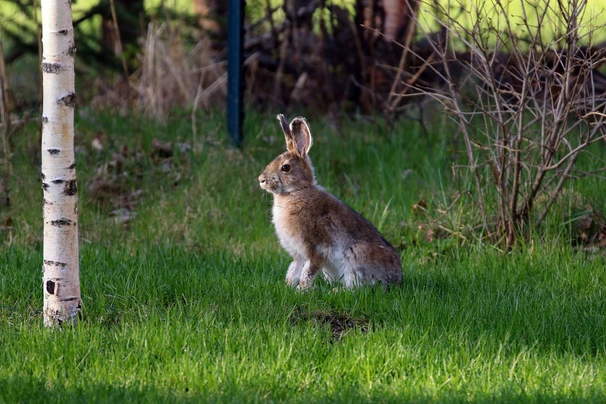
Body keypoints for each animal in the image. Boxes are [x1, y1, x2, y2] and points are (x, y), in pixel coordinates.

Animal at [258, 114, 404, 290]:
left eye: (285, 167)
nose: (261, 180)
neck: (296, 192)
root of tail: (397, 279)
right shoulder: (298, 254)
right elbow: (293, 270)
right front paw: (288, 286)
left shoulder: (316, 249)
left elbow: (308, 272)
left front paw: (301, 290)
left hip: (355, 257)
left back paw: (334, 291)